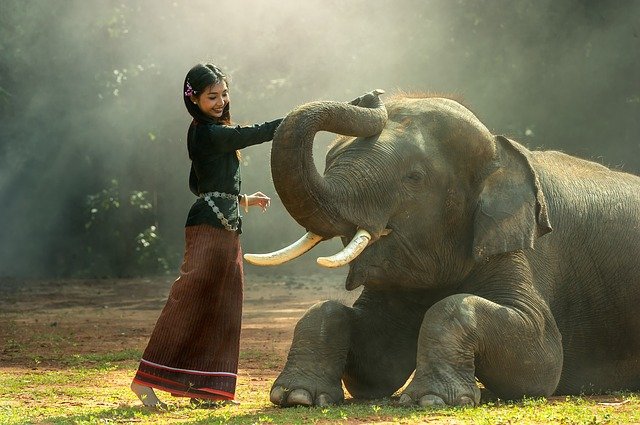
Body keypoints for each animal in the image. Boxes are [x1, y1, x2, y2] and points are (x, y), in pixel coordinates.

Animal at [244, 90, 640, 408]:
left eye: (414, 177)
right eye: (329, 161)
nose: (371, 95)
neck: (500, 150)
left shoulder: (517, 245)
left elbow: (542, 359)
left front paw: (432, 400)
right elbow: (376, 362)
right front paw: (297, 397)